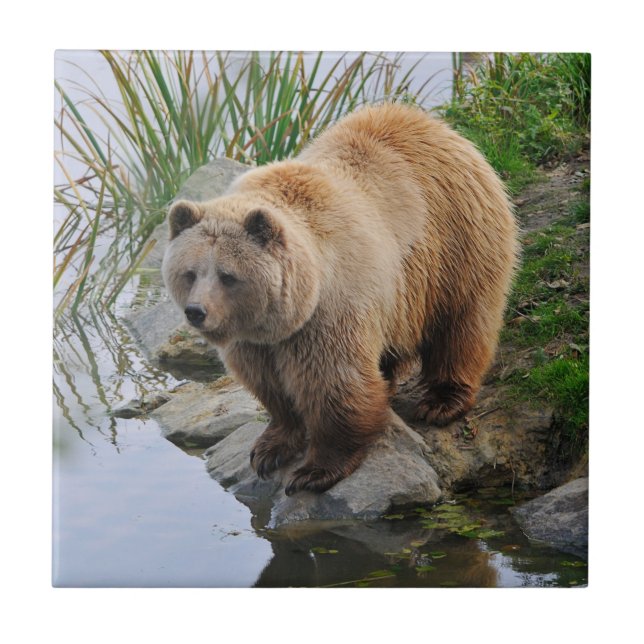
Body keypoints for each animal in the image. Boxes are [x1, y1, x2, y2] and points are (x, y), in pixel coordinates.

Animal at [162, 102, 519, 496]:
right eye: (190, 272)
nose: (196, 311)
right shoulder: (255, 340)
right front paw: (269, 448)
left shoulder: (329, 311)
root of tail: (433, 124)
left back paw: (442, 401)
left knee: (461, 323)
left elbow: (334, 385)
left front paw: (315, 470)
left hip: (455, 242)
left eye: (228, 275)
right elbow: (270, 386)